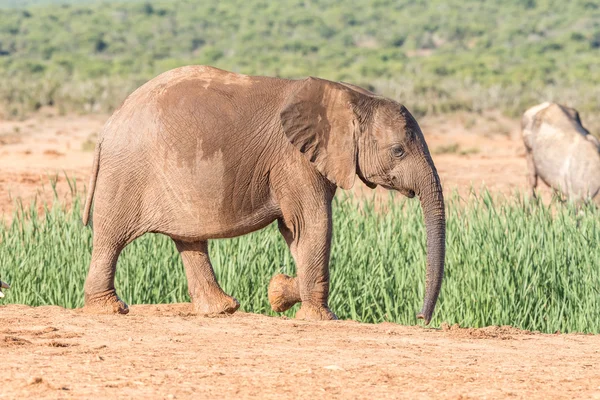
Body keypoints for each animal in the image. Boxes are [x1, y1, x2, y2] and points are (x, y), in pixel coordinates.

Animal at [81, 65, 446, 322]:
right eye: (398, 151)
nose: (420, 317)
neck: (353, 97)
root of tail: (109, 123)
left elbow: (297, 233)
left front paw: (279, 292)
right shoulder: (294, 160)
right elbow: (314, 225)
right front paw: (320, 316)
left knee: (188, 239)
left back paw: (222, 309)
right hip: (127, 172)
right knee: (111, 236)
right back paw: (111, 309)